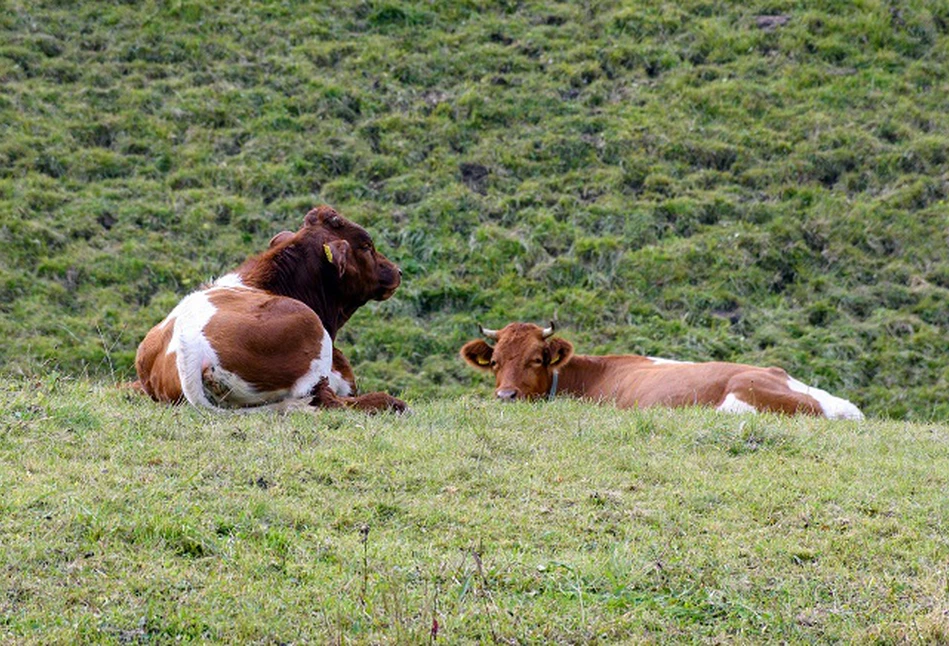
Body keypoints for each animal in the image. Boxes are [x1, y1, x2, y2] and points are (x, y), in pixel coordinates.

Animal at [131, 208, 406, 416]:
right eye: (367, 246)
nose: (398, 271)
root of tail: (189, 346)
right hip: (310, 335)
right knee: (327, 400)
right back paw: (390, 403)